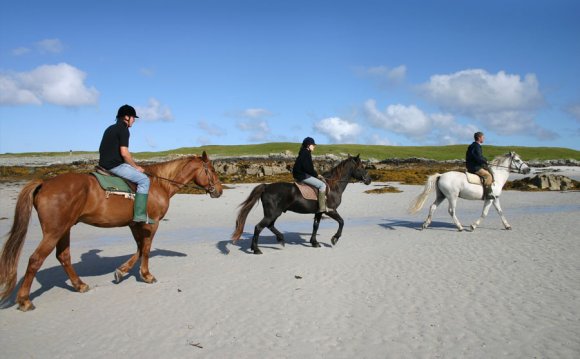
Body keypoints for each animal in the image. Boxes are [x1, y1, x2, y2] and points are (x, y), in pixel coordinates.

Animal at [0, 152, 222, 312]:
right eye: (211, 169)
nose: (219, 191)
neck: (159, 183)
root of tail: (44, 183)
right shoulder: (152, 224)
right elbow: (146, 249)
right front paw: (146, 275)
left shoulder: (135, 225)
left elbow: (139, 248)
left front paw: (122, 271)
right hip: (54, 232)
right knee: (35, 259)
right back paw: (25, 300)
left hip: (64, 230)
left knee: (63, 256)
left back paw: (79, 285)